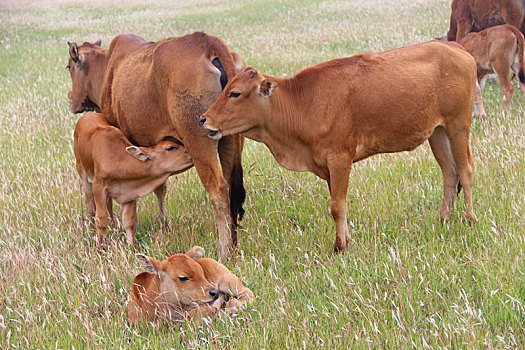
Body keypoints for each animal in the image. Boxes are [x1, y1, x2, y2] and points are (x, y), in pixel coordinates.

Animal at [71, 113, 190, 249]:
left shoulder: (128, 191)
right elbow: (101, 220)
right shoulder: (98, 186)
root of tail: (87, 114)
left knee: (109, 207)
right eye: (170, 148)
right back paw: (91, 231)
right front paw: (100, 248)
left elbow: (128, 221)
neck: (118, 158)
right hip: (82, 173)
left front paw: (132, 247)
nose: (190, 152)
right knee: (90, 205)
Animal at [199, 41, 476, 253]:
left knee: (465, 171)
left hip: (458, 125)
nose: (203, 119)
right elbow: (338, 203)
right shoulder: (328, 165)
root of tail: (454, 46)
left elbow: (336, 205)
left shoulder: (340, 159)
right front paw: (344, 240)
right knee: (450, 173)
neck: (302, 103)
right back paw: (444, 218)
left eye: (235, 93)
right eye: (225, 88)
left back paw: (469, 219)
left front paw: (340, 247)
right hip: (437, 132)